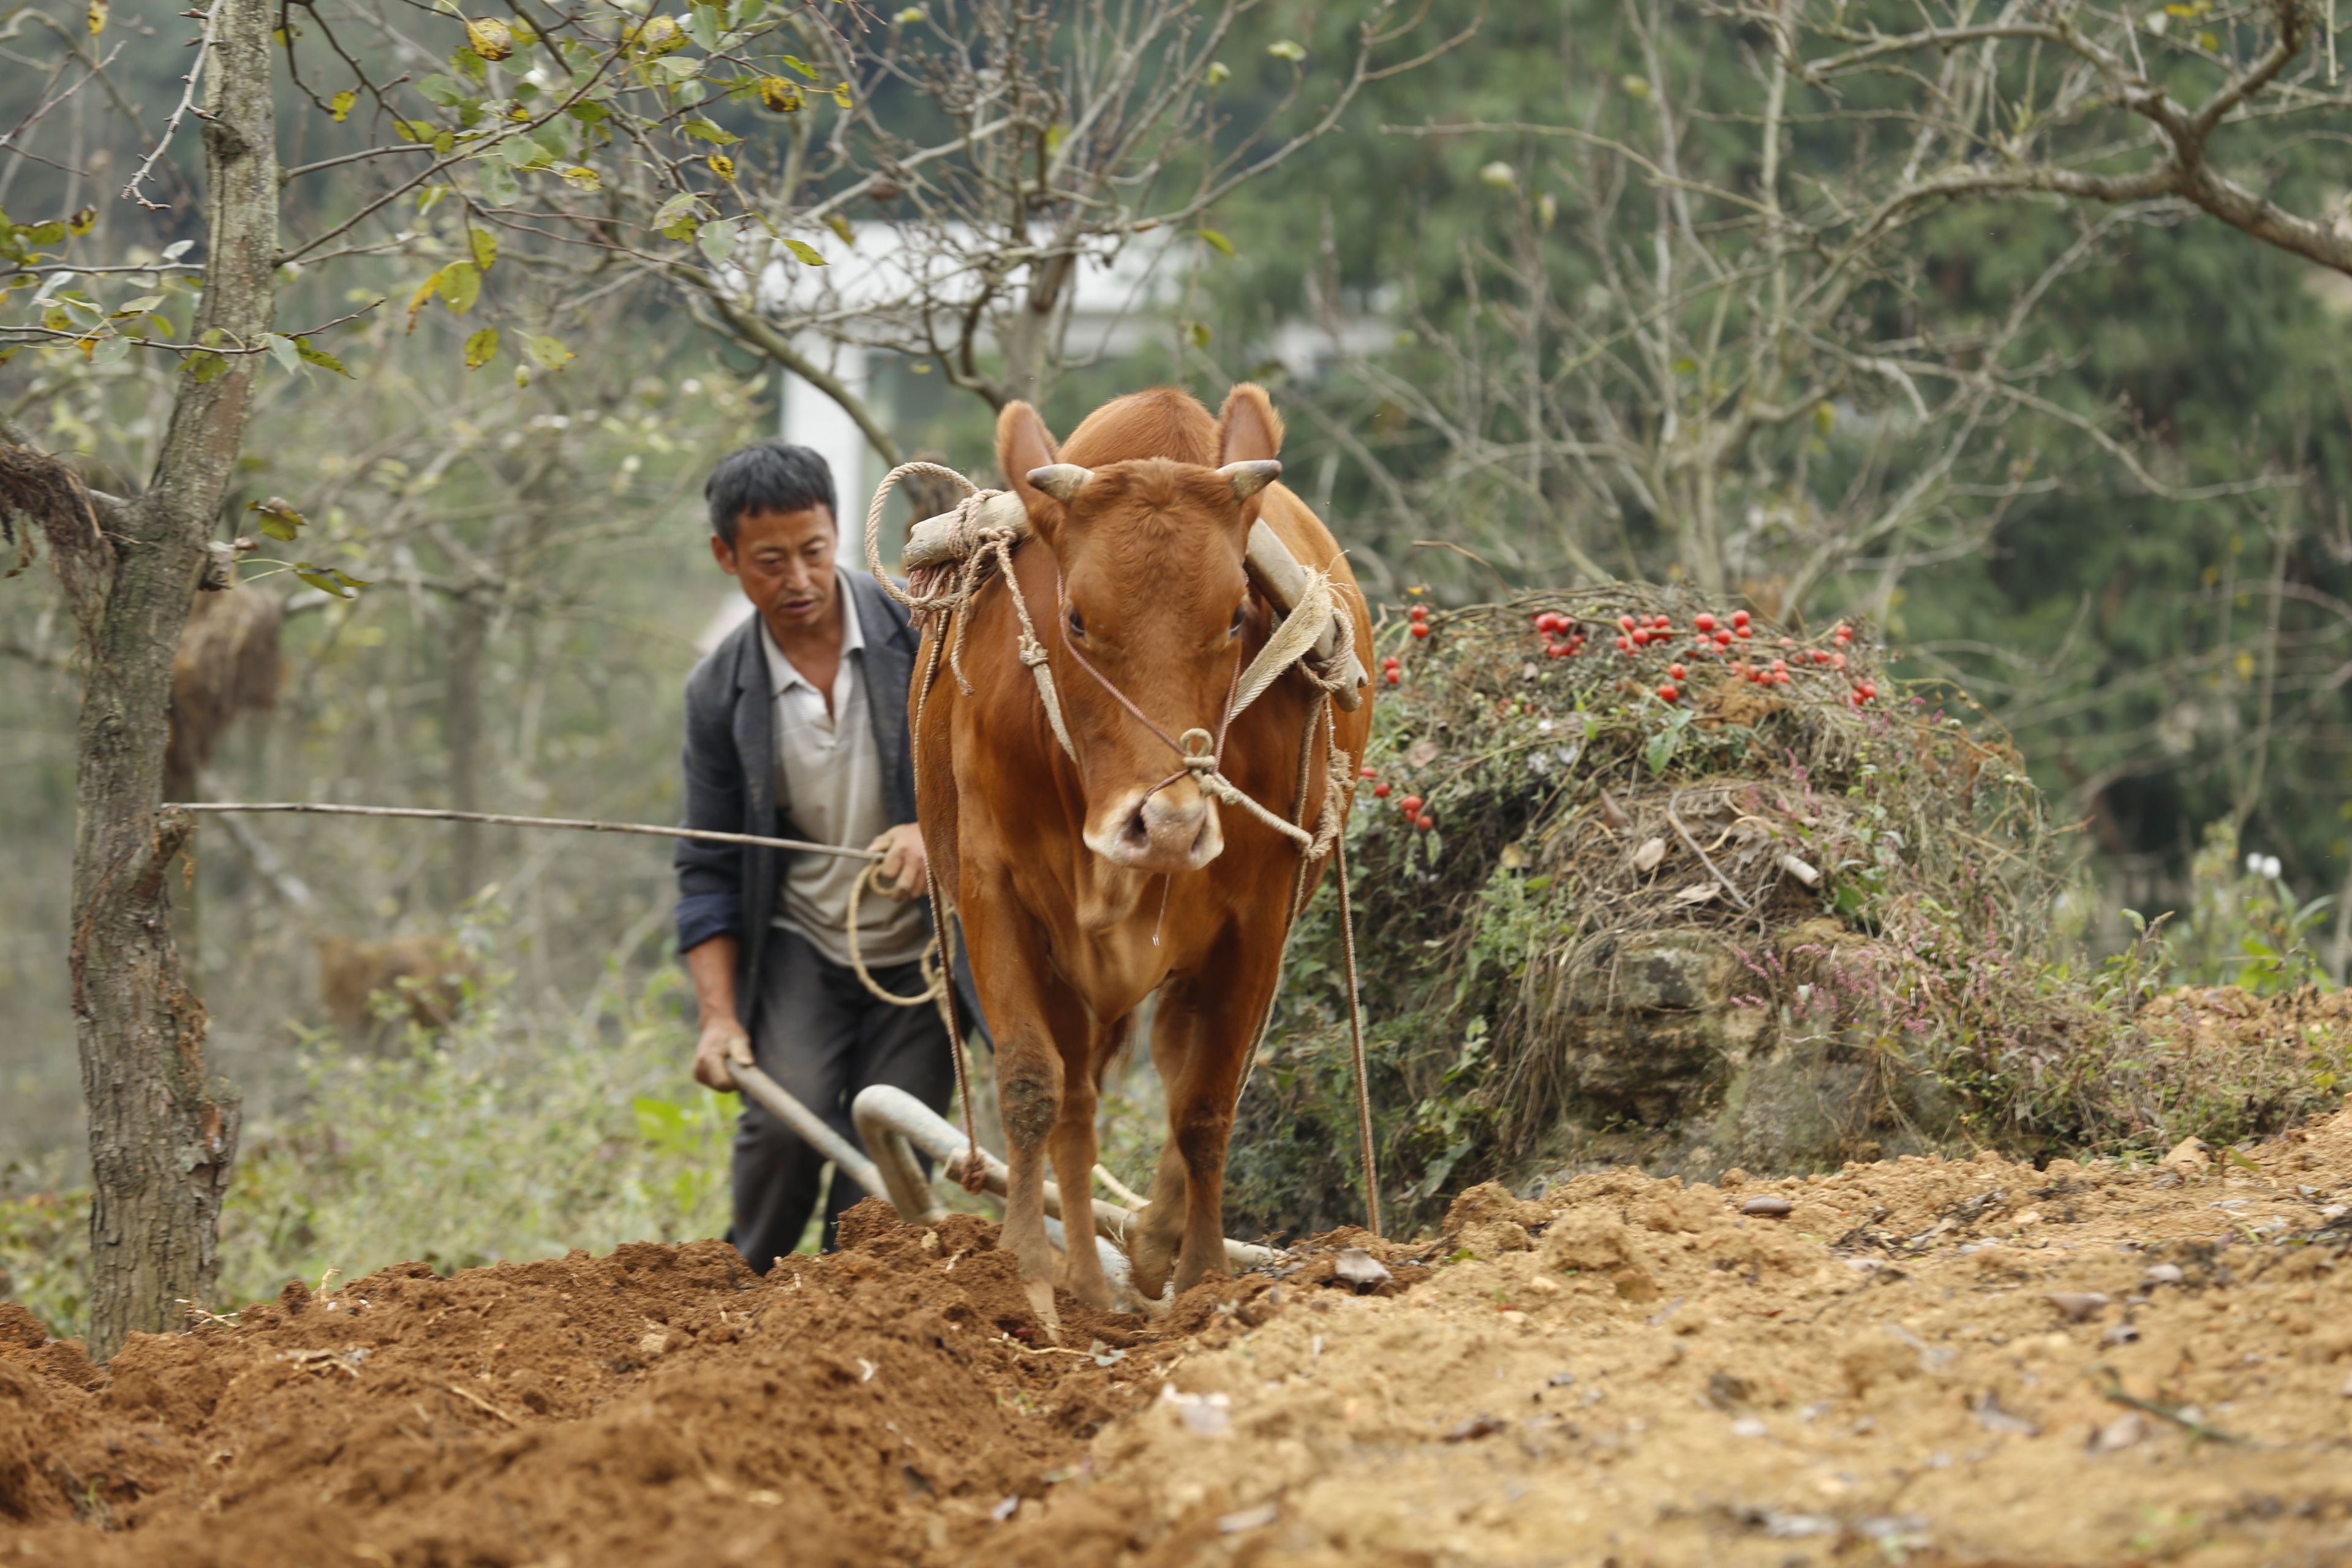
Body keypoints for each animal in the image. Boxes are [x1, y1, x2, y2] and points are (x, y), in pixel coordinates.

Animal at [910, 383, 1374, 1334]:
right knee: (1079, 1103)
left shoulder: (1259, 920)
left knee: (1182, 1074)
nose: (1163, 827)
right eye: (1077, 619)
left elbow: (1206, 1105)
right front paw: (1026, 1277)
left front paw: (1202, 1279)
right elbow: (1032, 1086)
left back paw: (1154, 1246)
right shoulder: (995, 894)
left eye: (1235, 615)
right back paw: (1090, 1282)